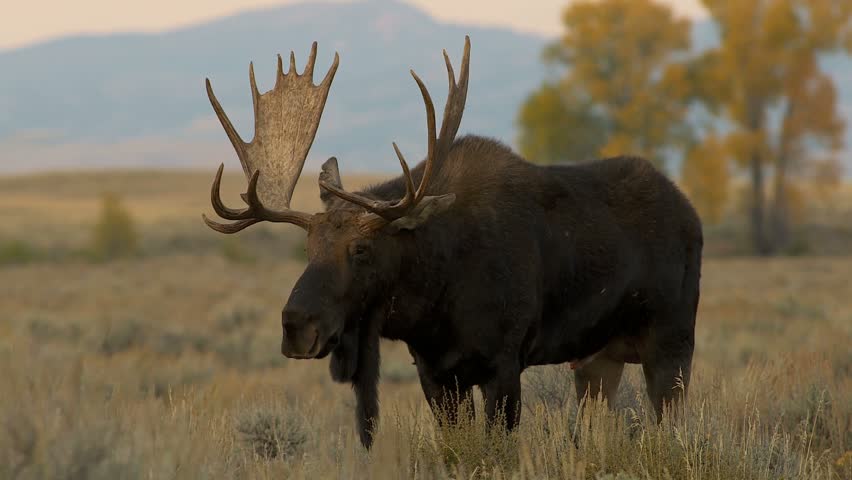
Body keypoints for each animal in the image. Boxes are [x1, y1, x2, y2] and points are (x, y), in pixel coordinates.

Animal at [202, 36, 703, 449]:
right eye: (308, 249)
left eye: (361, 250)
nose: (295, 326)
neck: (434, 301)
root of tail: (690, 212)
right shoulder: (436, 373)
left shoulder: (504, 364)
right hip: (598, 359)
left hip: (672, 342)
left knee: (671, 427)